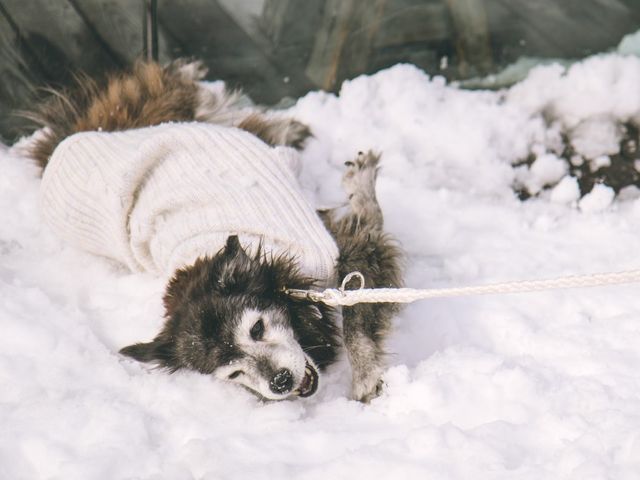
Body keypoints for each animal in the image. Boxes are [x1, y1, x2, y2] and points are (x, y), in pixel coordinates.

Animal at [26, 62, 404, 404]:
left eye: (257, 329)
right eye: (234, 373)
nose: (280, 382)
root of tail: (76, 137)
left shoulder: (346, 251)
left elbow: (359, 316)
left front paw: (366, 376)